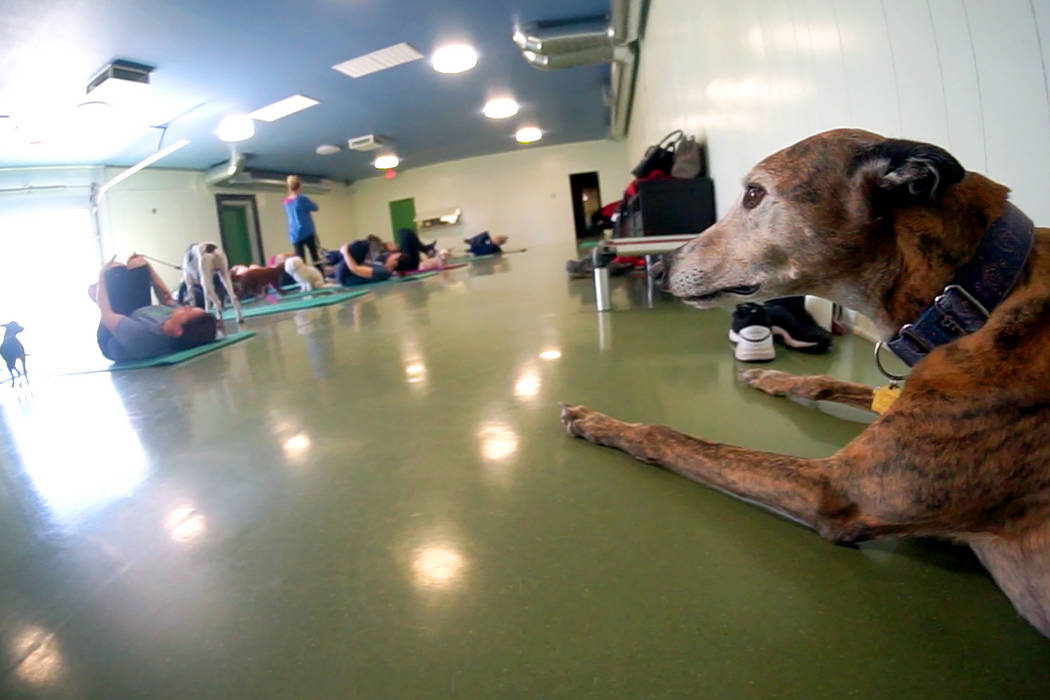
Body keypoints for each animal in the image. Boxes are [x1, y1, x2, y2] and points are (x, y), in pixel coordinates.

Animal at [562, 128, 1050, 638]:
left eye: (753, 194)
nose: (658, 270)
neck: (974, 298)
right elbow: (824, 382)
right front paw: (770, 376)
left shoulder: (833, 487)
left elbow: (667, 435)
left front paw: (599, 422)